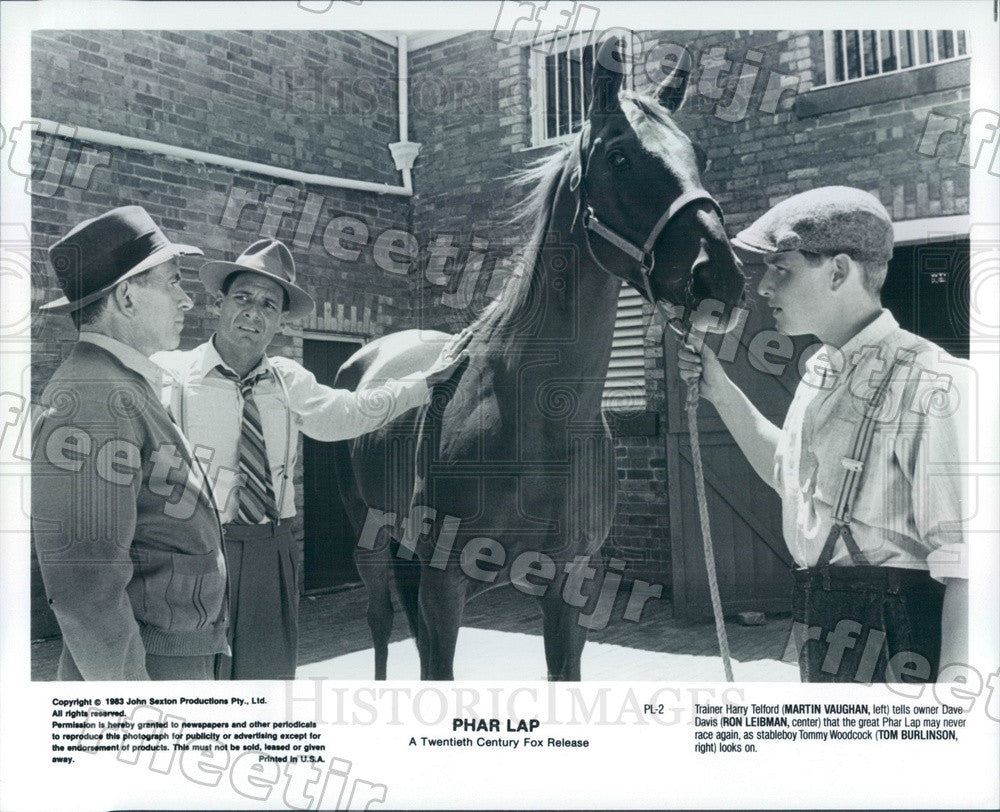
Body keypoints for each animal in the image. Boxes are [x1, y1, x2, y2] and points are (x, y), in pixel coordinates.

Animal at [332, 38, 748, 680]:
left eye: (697, 154)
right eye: (620, 157)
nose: (720, 277)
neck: (535, 412)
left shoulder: (568, 583)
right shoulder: (444, 586)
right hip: (372, 543)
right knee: (380, 629)